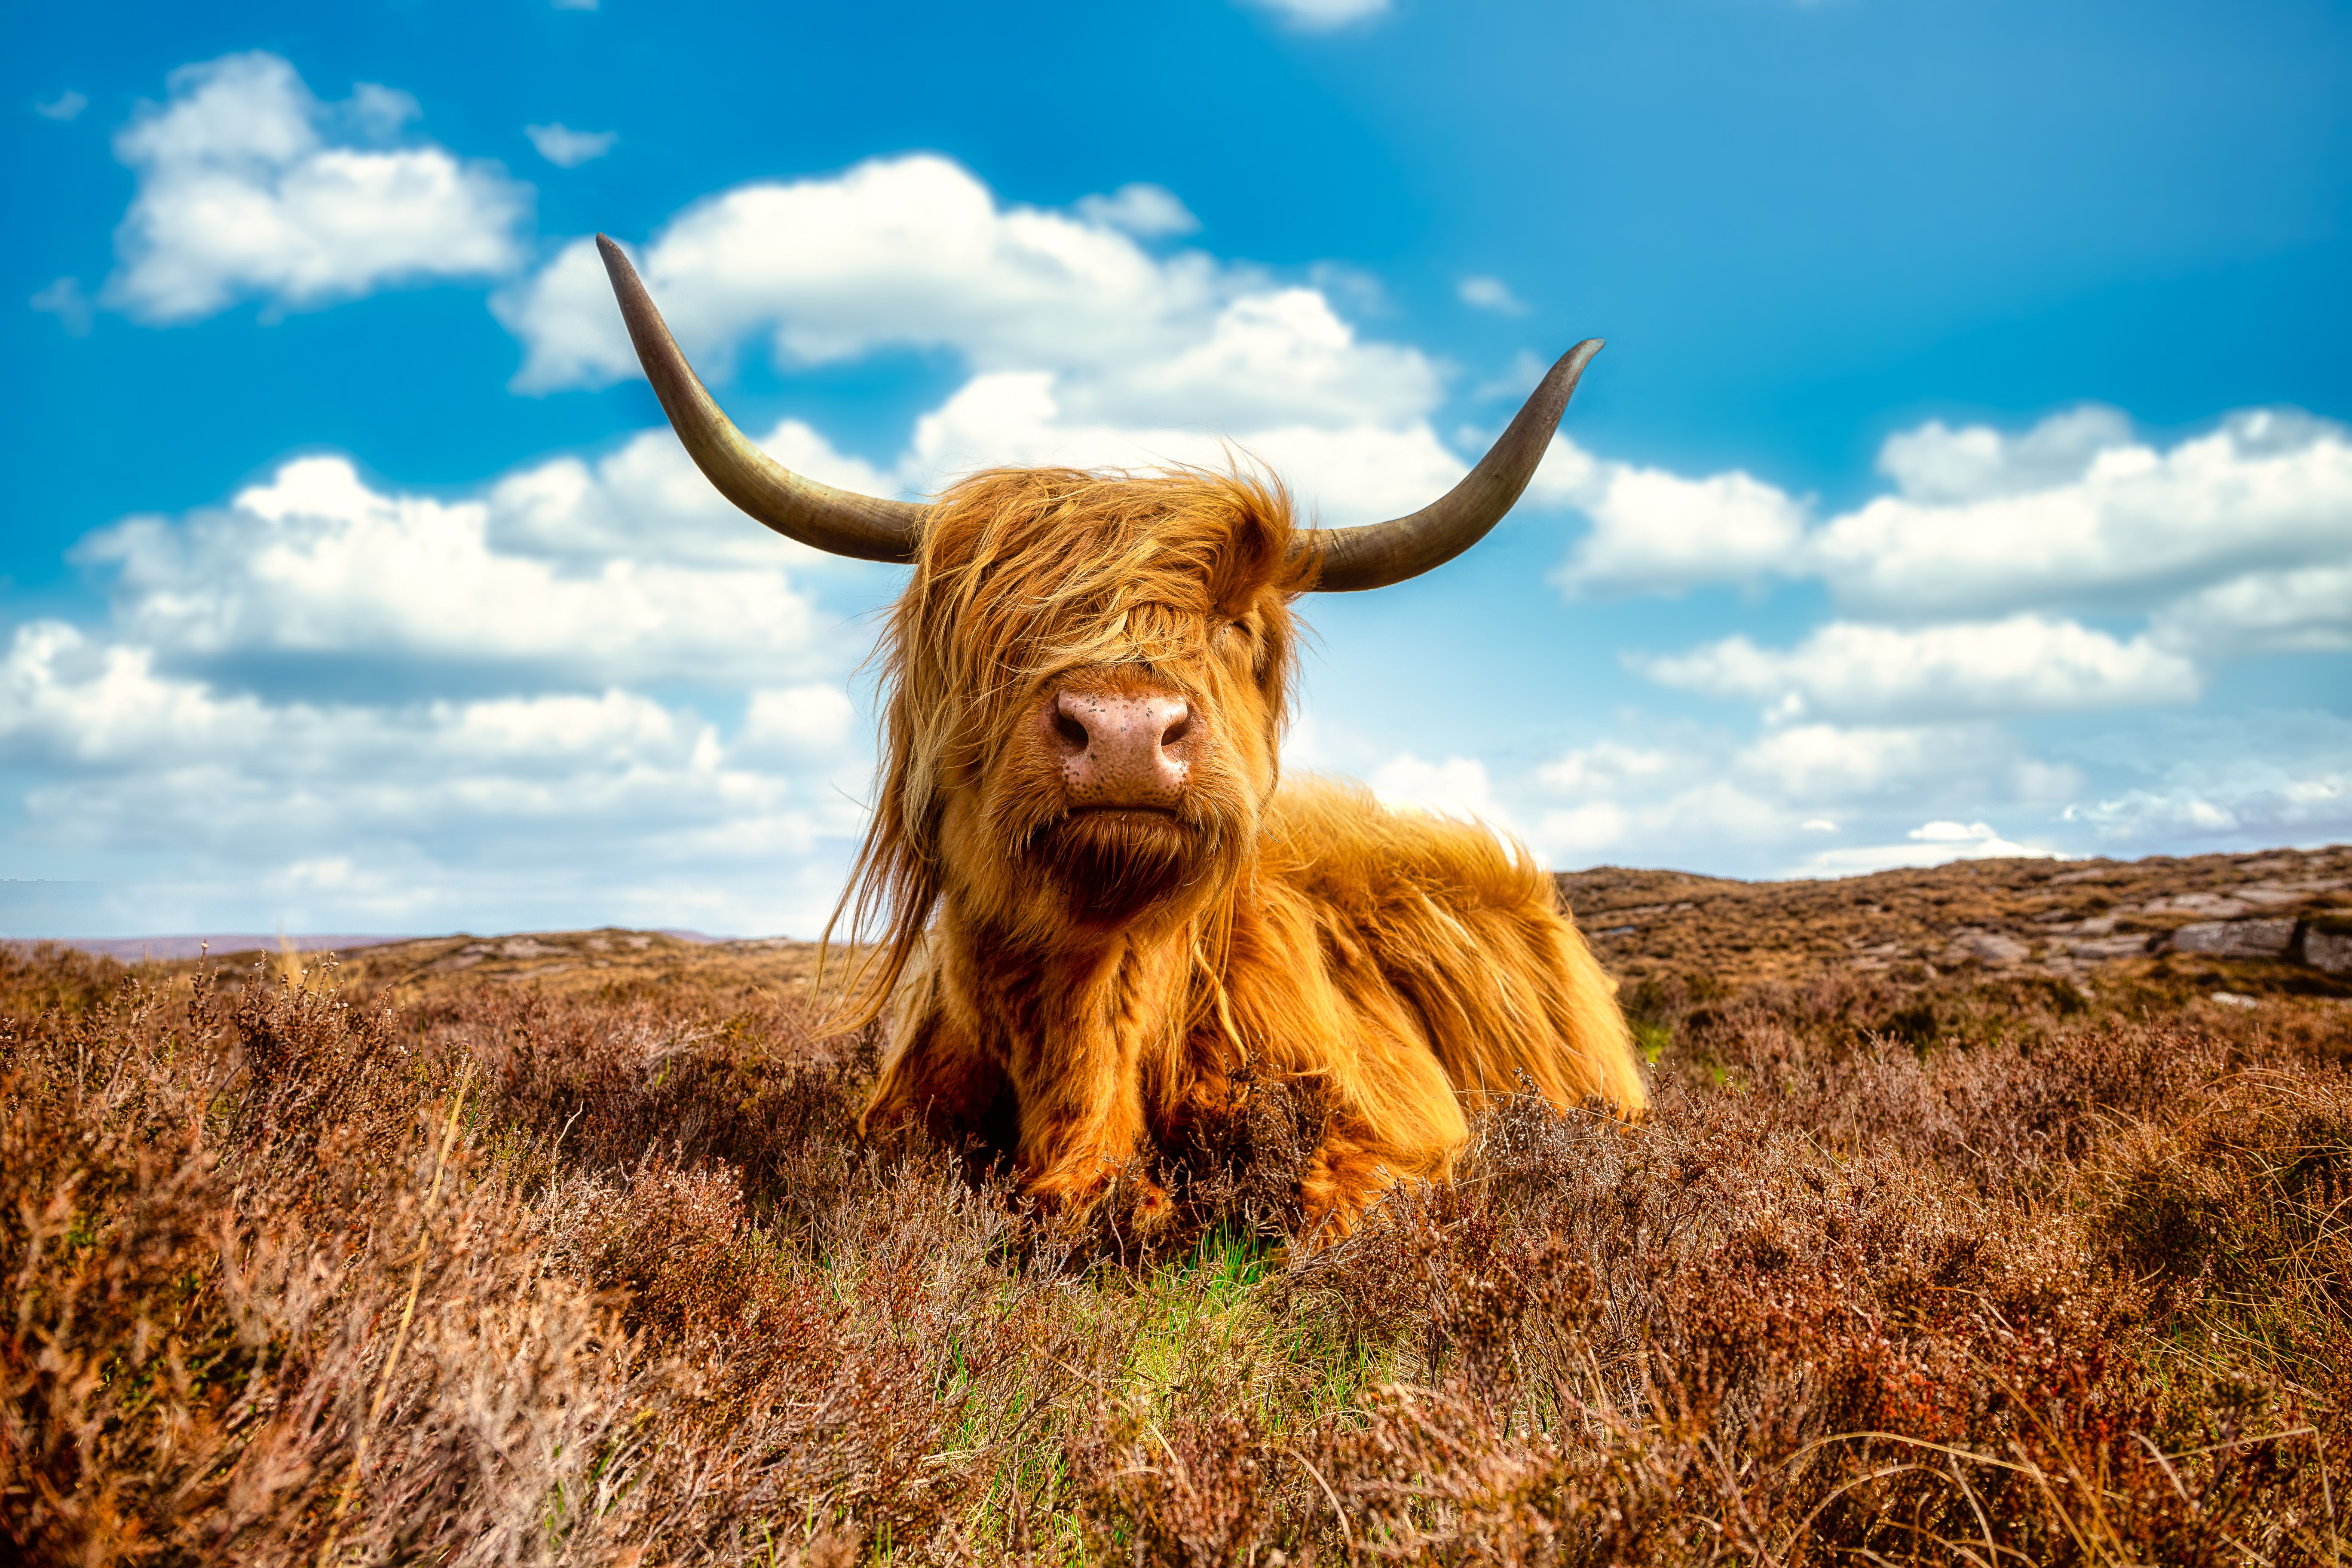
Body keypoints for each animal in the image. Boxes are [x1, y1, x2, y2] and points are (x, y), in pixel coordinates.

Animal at [597, 236, 1646, 1241]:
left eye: (1234, 624)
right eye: (995, 627)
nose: (1128, 732)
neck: (1088, 1022)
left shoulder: (1404, 1129)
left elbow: (1334, 1212)